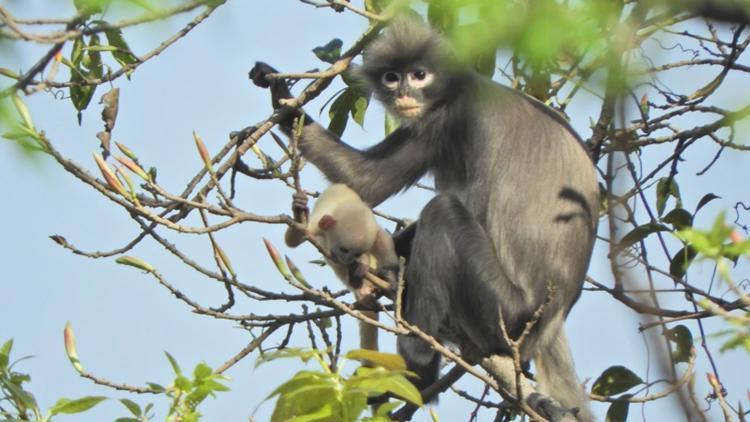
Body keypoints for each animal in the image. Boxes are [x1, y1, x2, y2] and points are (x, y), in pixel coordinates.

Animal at [251, 15, 600, 418]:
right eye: (392, 77)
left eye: (419, 75)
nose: (404, 93)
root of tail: (549, 322)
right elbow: (365, 180)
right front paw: (281, 95)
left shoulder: (452, 120)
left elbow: (371, 184)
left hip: (505, 312)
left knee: (443, 212)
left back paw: (416, 371)